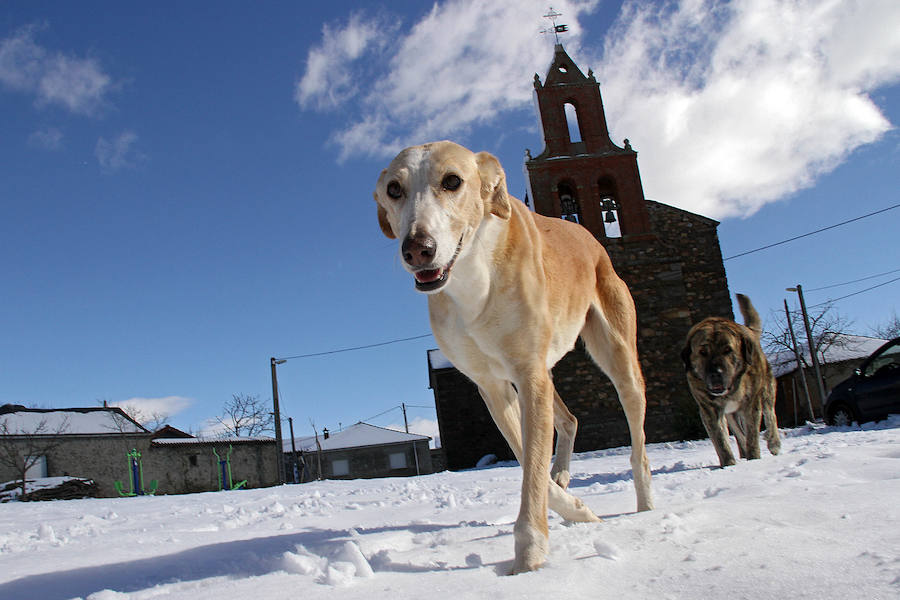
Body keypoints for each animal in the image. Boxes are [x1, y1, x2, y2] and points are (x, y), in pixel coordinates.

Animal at [372, 139, 652, 572]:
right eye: (394, 189)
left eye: (452, 181)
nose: (418, 250)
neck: (473, 277)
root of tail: (587, 235)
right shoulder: (494, 386)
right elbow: (527, 458)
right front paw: (575, 509)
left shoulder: (528, 374)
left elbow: (532, 464)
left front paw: (529, 553)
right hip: (544, 372)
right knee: (568, 420)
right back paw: (564, 476)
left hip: (617, 356)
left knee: (637, 436)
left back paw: (645, 505)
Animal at [684, 292, 780, 466]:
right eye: (702, 352)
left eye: (728, 350)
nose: (716, 373)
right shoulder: (709, 409)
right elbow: (721, 440)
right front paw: (728, 464)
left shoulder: (751, 403)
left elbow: (752, 435)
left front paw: (754, 458)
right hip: (731, 413)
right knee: (739, 433)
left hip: (766, 389)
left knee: (770, 414)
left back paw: (773, 443)